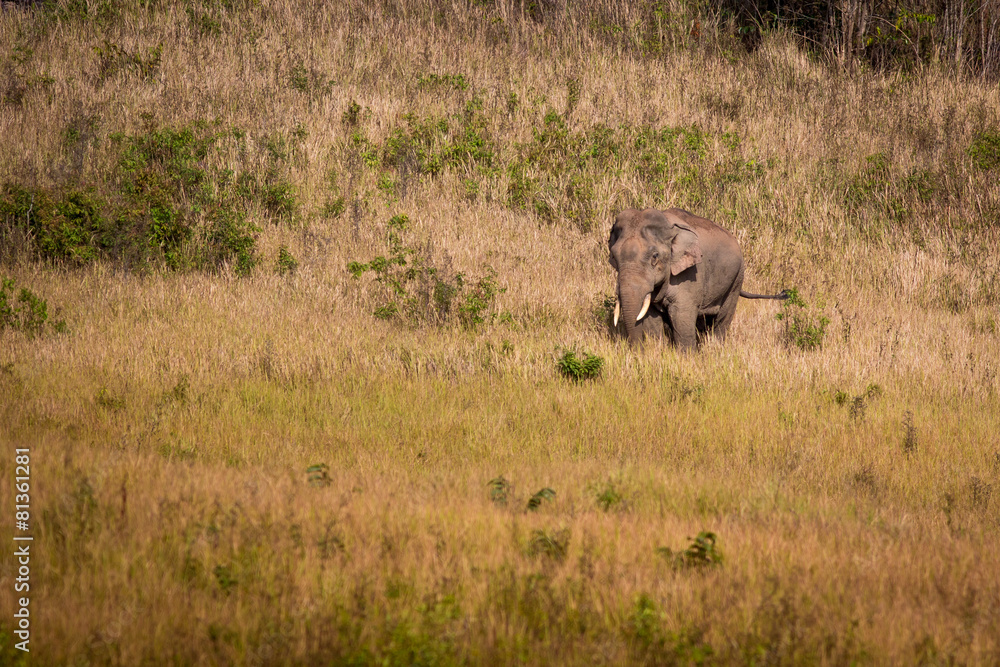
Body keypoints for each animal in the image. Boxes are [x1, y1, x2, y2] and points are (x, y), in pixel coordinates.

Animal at [608, 208, 787, 349]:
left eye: (654, 256)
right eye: (614, 257)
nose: (637, 351)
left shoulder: (689, 275)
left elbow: (682, 316)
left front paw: (686, 358)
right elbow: (651, 317)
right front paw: (657, 351)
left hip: (737, 278)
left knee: (722, 319)